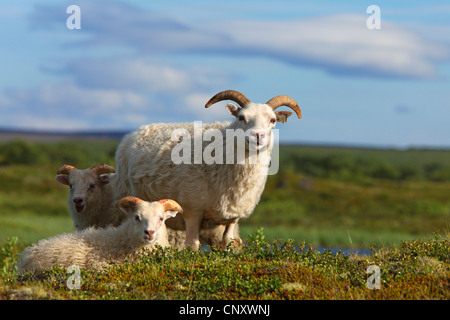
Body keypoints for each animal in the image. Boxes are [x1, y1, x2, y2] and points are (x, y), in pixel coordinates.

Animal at [112, 89, 302, 250]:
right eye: (241, 117)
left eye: (273, 120)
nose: (258, 136)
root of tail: (137, 131)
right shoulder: (192, 212)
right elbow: (193, 246)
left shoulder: (233, 216)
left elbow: (228, 242)